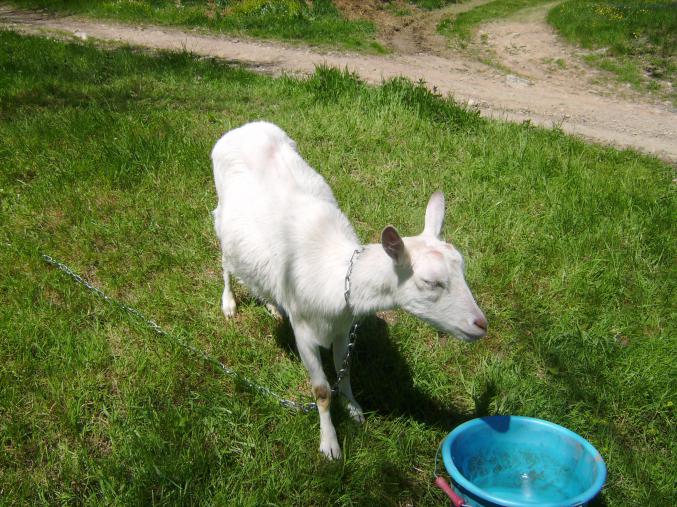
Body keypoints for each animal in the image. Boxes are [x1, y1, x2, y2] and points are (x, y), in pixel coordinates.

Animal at [212, 121, 487, 459]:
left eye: (461, 269)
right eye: (430, 282)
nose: (481, 324)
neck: (338, 276)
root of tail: (244, 127)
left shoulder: (344, 328)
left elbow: (345, 373)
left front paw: (354, 409)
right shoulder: (304, 331)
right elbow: (320, 391)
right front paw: (330, 445)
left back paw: (273, 306)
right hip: (221, 219)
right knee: (225, 262)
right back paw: (229, 304)